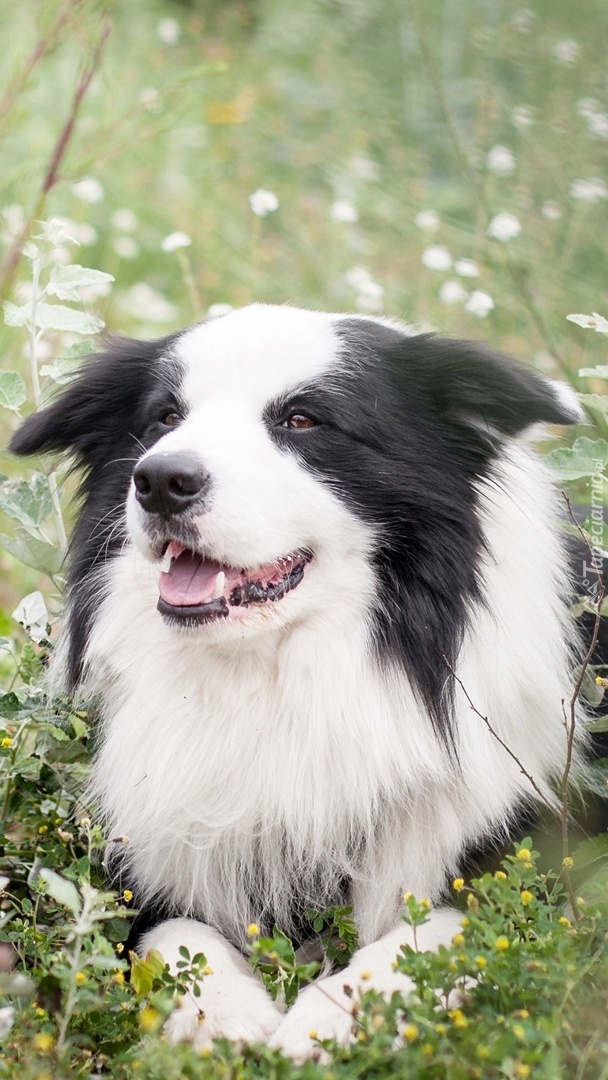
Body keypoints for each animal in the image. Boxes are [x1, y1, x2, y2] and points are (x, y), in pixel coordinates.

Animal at [9, 302, 587, 1054]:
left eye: (303, 419)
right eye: (166, 416)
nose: (160, 480)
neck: (277, 675)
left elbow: (437, 932)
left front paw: (333, 1014)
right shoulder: (147, 861)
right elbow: (173, 931)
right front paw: (221, 1009)